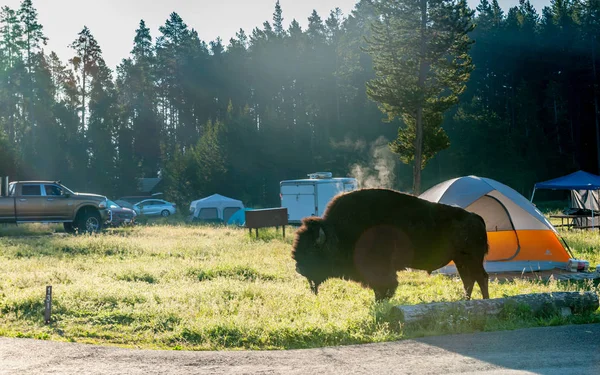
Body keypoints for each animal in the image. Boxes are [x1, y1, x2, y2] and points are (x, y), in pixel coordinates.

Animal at [292, 188, 492, 302]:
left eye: (312, 250)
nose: (299, 268)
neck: (338, 232)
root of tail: (476, 218)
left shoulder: (380, 268)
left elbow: (385, 286)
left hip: (472, 259)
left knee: (480, 277)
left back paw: (485, 302)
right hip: (460, 260)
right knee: (468, 280)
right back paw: (467, 302)